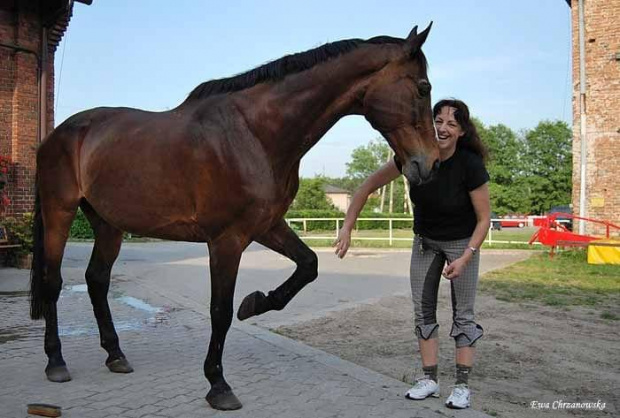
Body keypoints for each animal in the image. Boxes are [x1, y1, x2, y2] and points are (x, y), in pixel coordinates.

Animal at [27, 23, 436, 412]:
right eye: (422, 88)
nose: (428, 164)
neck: (254, 133)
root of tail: (57, 136)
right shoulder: (226, 240)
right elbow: (219, 310)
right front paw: (218, 385)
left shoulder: (266, 226)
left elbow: (308, 265)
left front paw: (256, 303)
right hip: (60, 212)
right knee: (53, 282)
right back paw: (55, 362)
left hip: (108, 224)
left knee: (97, 280)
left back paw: (115, 355)